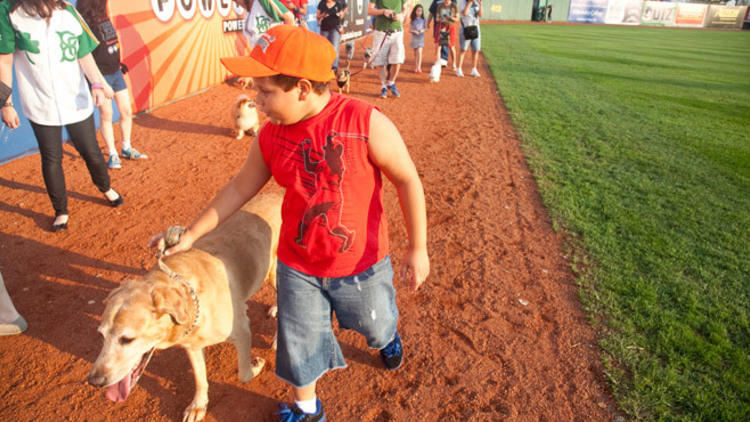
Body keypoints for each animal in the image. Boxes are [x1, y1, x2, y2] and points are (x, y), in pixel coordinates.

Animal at [88, 195, 282, 422]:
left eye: (127, 339)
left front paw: (256, 366)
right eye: (101, 335)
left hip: (277, 272)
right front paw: (198, 405)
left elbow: (243, 375)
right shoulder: (191, 344)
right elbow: (199, 378)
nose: (94, 381)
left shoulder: (243, 331)